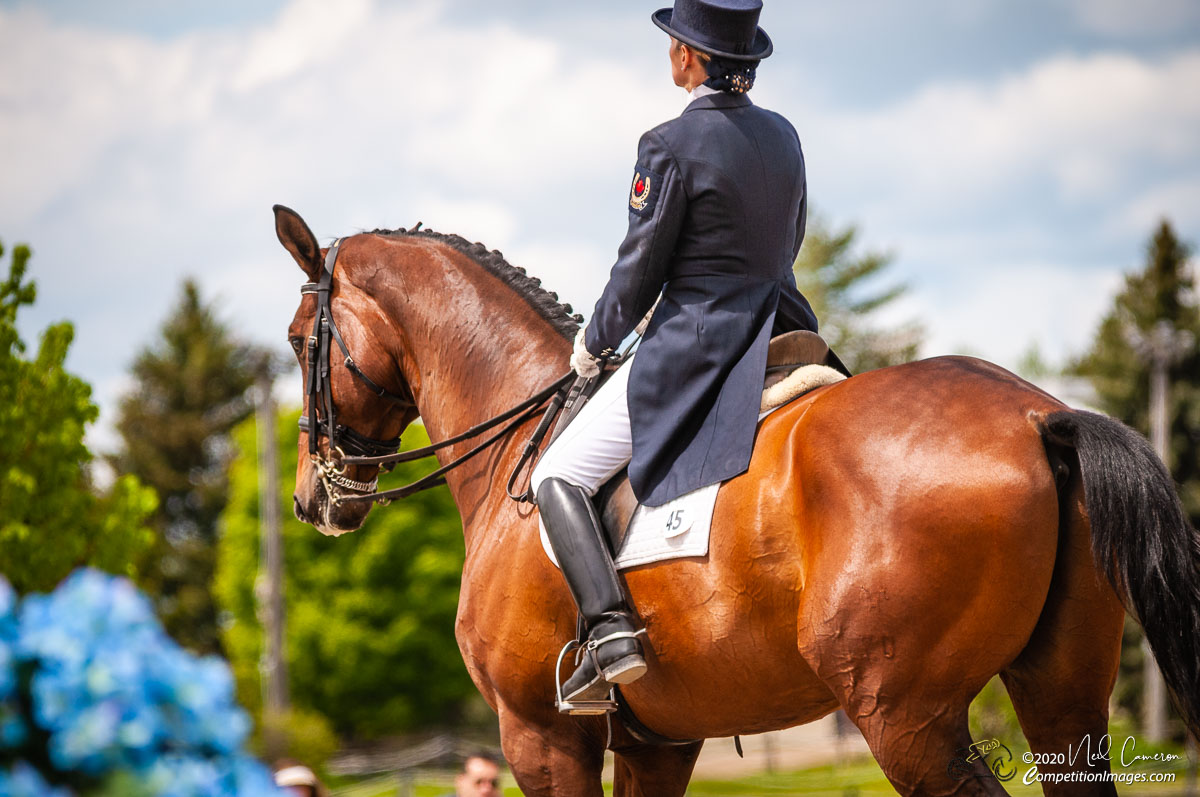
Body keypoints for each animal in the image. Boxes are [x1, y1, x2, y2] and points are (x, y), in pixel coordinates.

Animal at [276, 206, 1200, 797]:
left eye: (293, 341)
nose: (313, 499)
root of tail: (1035, 414)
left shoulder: (541, 732)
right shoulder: (660, 738)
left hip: (905, 716)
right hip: (1061, 693)